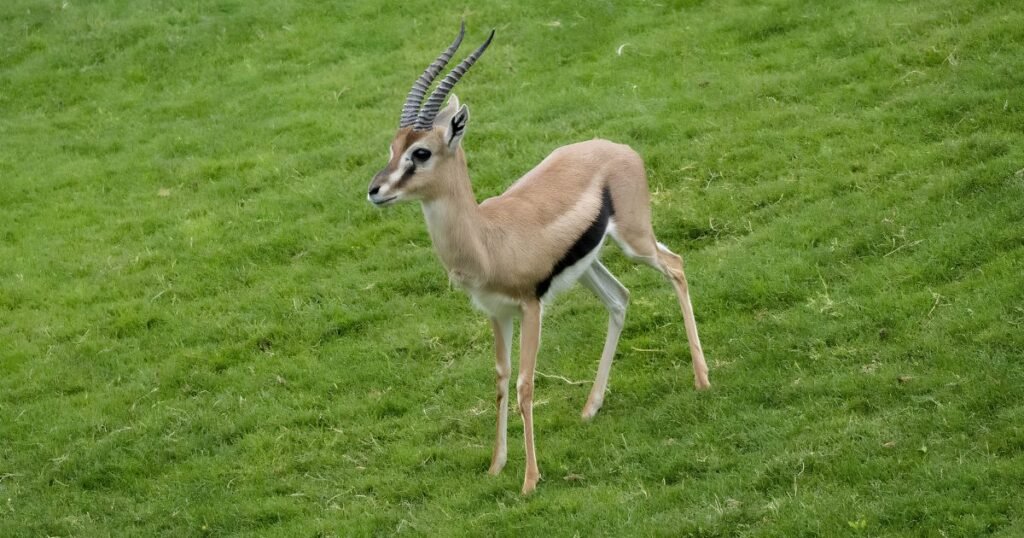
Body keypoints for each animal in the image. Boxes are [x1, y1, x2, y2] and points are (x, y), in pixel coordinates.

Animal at [366, 23, 710, 495]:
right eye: (392, 146)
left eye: (421, 153)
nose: (375, 190)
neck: (487, 238)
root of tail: (620, 148)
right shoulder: (497, 313)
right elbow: (500, 379)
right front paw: (496, 466)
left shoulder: (530, 307)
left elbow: (525, 384)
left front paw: (530, 479)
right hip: (588, 268)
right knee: (620, 298)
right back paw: (590, 407)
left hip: (635, 240)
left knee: (674, 266)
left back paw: (702, 380)